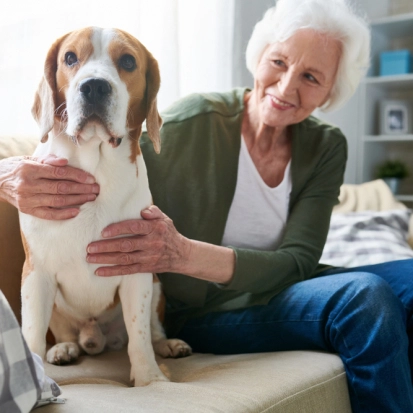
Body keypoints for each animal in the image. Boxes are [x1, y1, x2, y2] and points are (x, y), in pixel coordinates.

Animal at [20, 27, 191, 384]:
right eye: (70, 57)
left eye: (127, 61)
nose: (94, 86)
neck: (95, 167)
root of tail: (93, 335)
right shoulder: (36, 273)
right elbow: (32, 335)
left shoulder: (138, 269)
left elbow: (139, 335)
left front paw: (150, 379)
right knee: (61, 334)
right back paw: (64, 349)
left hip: (157, 284)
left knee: (152, 330)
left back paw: (168, 345)